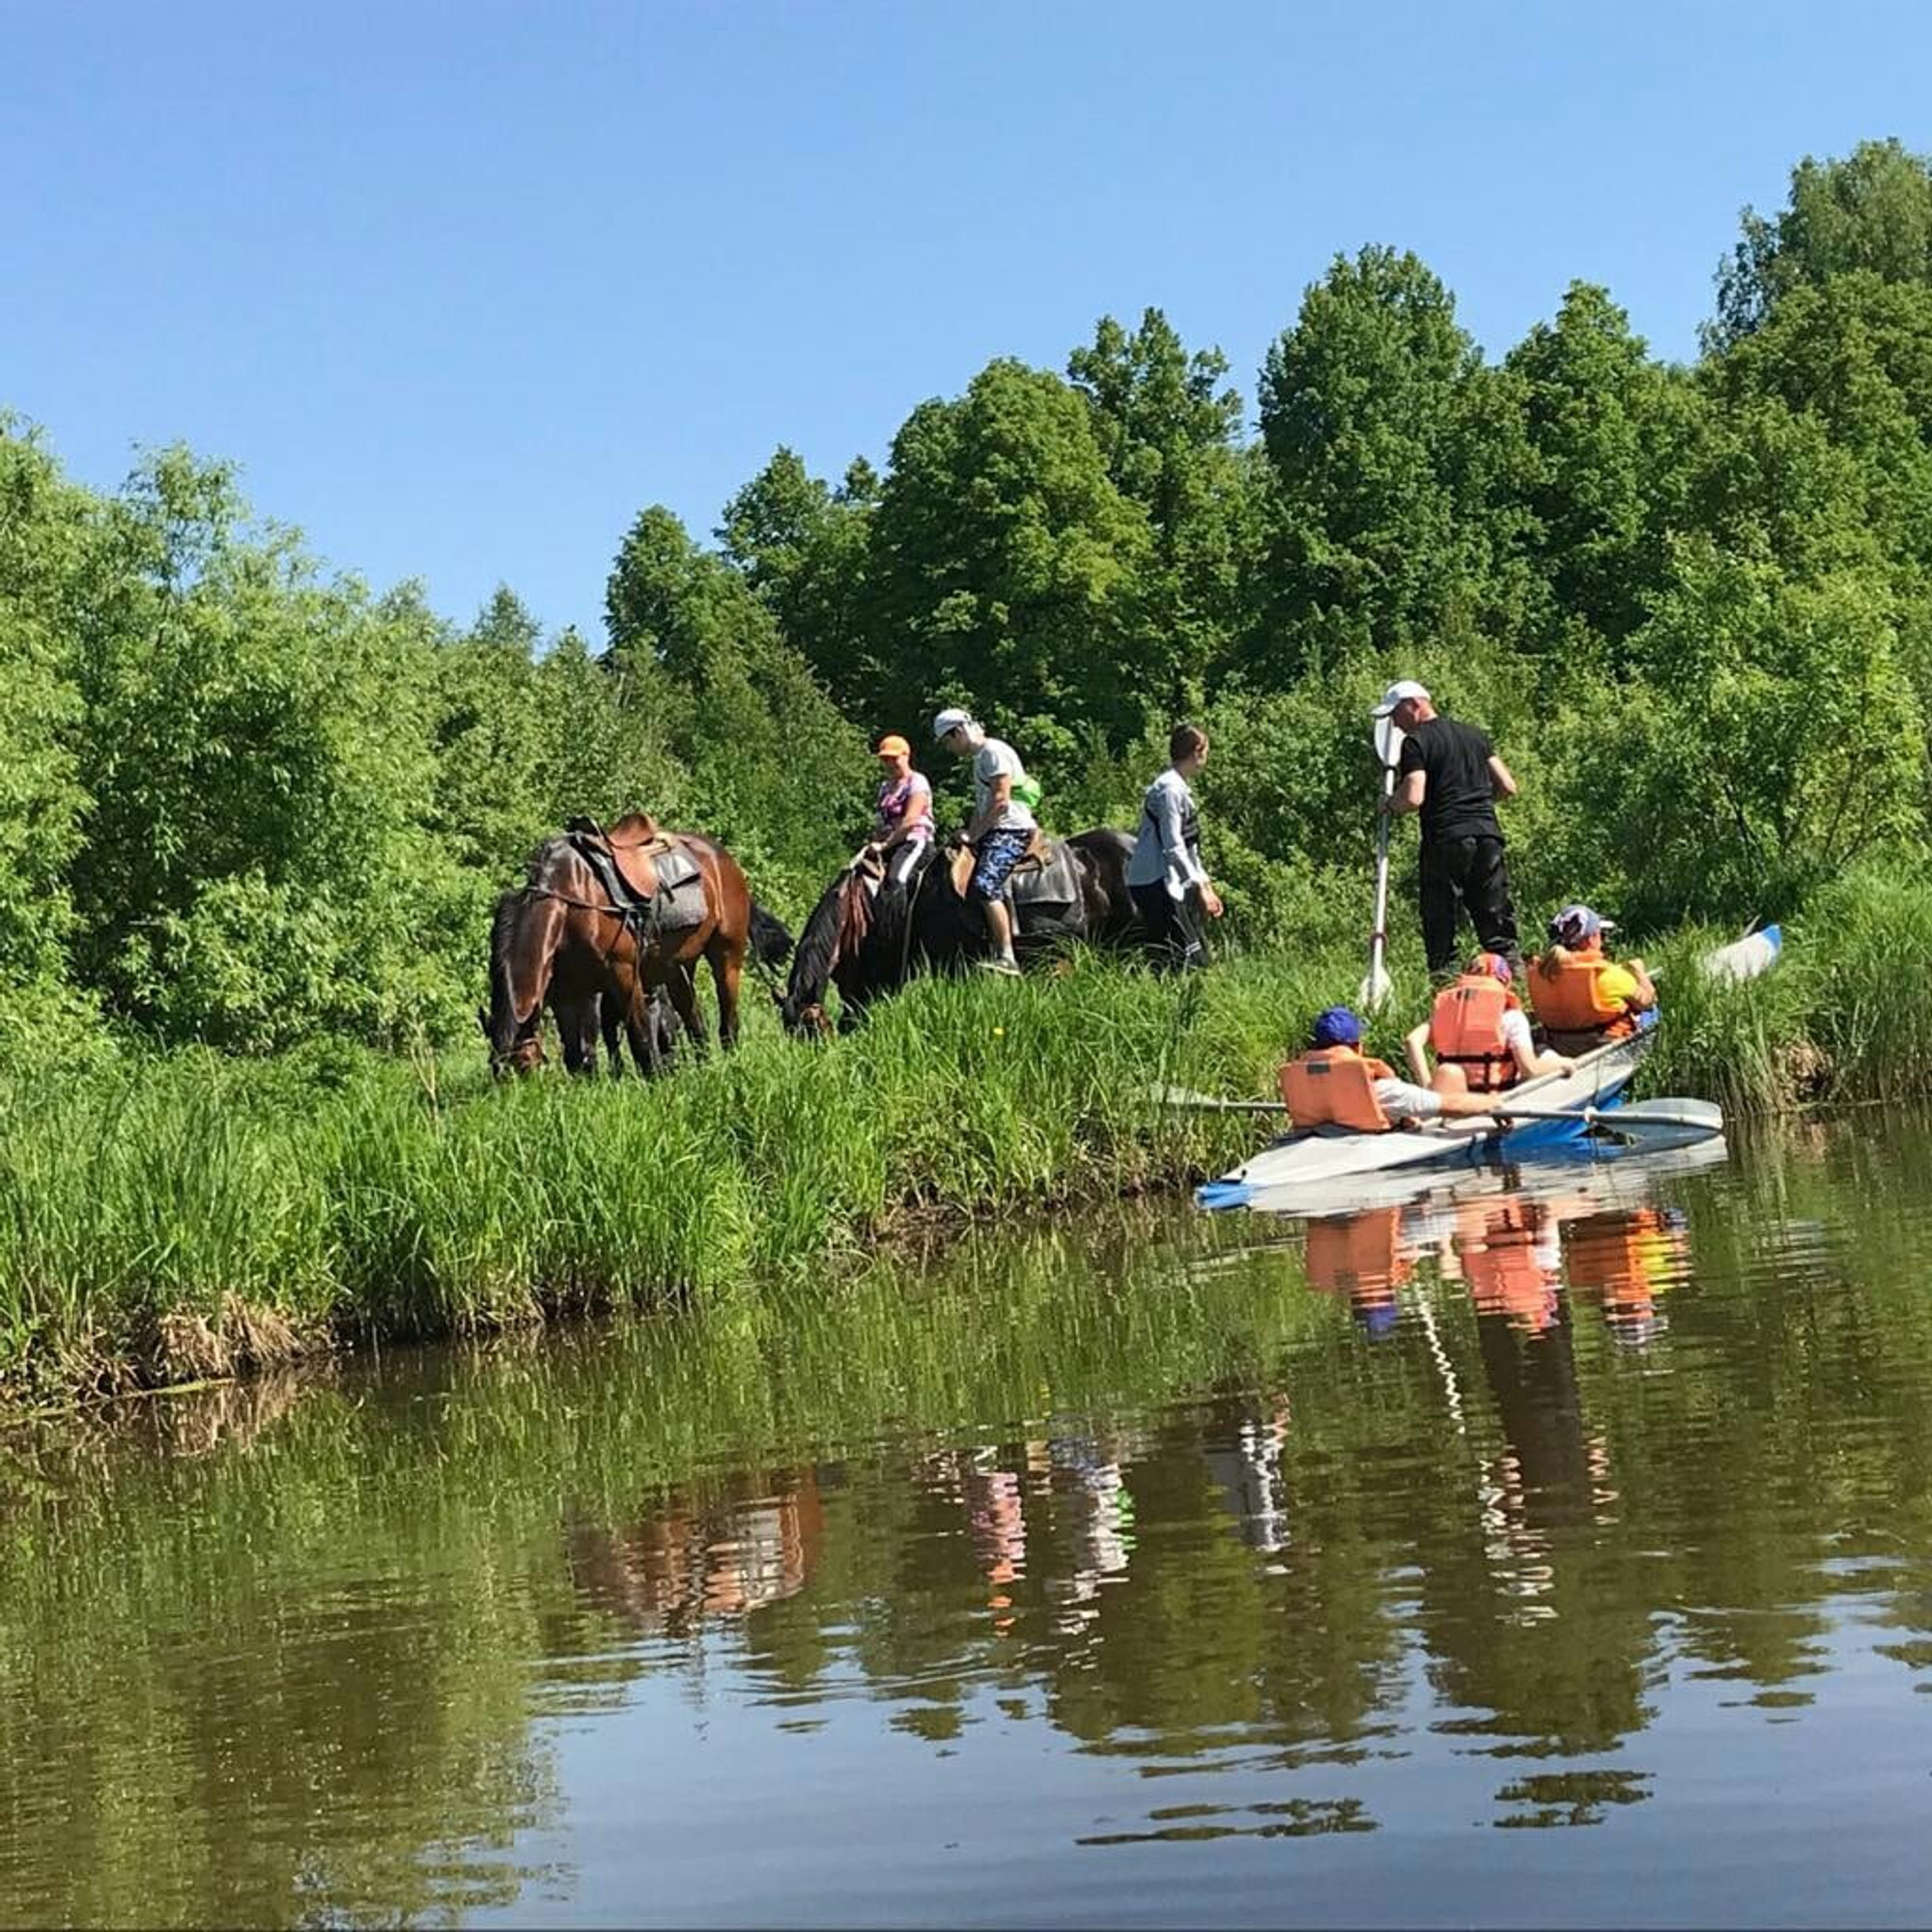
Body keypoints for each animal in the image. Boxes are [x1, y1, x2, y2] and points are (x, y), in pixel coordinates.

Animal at [491, 823, 792, 1082]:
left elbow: (641, 1039)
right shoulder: (567, 995)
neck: (569, 901)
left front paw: (656, 1082)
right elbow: (577, 1055)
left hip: (726, 956)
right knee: (695, 1021)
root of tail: (721, 856)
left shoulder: (624, 975)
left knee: (728, 1022)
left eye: (524, 1066)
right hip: (678, 969)